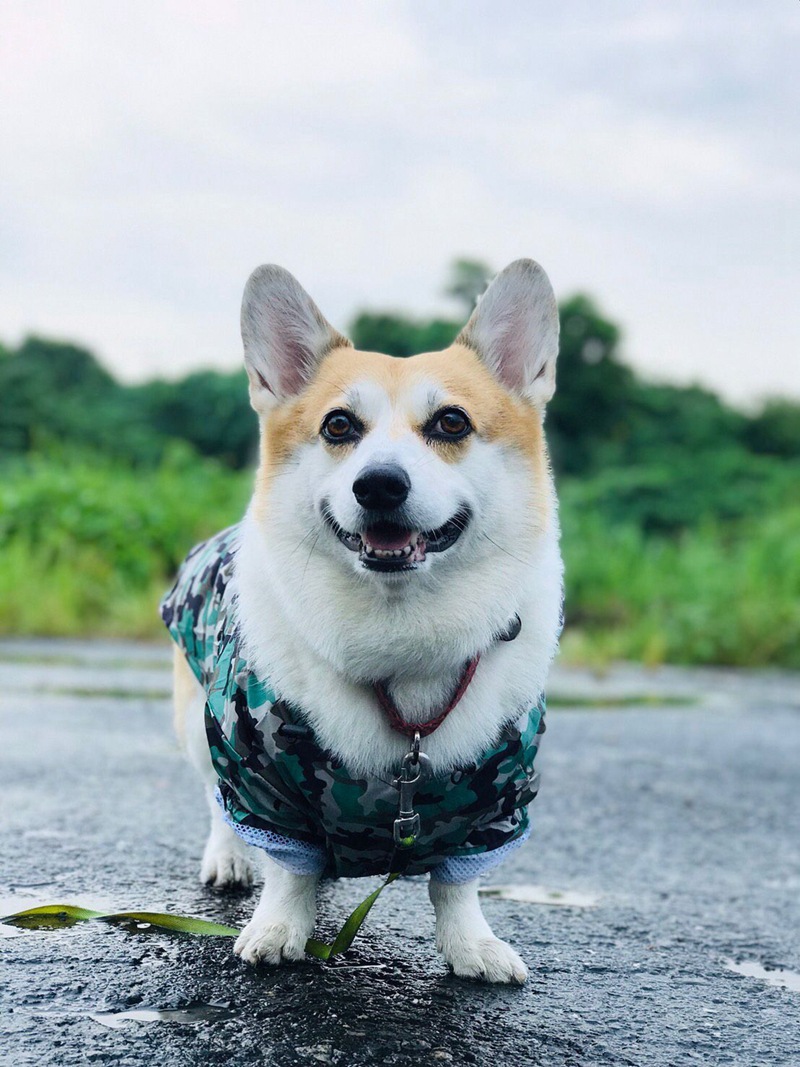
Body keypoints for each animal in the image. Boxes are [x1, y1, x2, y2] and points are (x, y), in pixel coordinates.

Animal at [162, 259, 563, 984]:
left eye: (452, 423)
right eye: (339, 426)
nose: (378, 485)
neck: (399, 634)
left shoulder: (499, 798)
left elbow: (458, 885)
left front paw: (473, 945)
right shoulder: (260, 774)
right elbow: (287, 870)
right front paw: (278, 929)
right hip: (197, 723)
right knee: (214, 800)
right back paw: (230, 858)